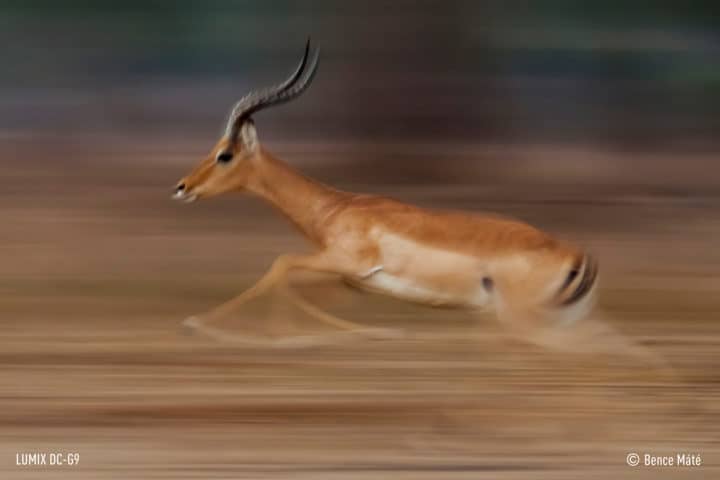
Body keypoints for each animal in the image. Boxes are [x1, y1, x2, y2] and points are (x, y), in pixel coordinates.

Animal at [173, 40, 598, 344]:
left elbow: (281, 265)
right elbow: (297, 285)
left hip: (524, 318)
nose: (182, 188)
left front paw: (203, 324)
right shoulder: (352, 281)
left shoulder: (346, 263)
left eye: (225, 154)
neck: (335, 208)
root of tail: (575, 254)